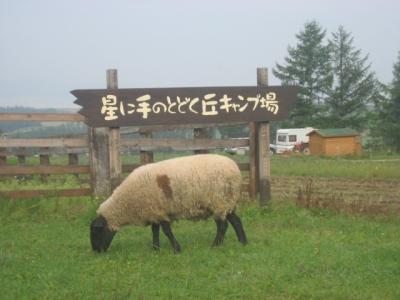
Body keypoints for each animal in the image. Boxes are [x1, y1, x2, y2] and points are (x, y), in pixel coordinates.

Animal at [90, 154, 247, 252]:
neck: (127, 203)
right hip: (227, 202)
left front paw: (176, 249)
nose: (96, 251)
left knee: (223, 226)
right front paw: (155, 248)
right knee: (236, 221)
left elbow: (166, 231)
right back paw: (243, 242)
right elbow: (155, 230)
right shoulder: (154, 211)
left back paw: (215, 245)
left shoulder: (160, 212)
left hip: (219, 201)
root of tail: (236, 169)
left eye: (95, 231)